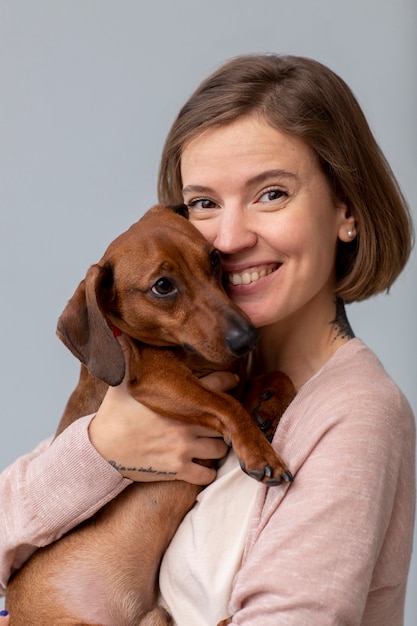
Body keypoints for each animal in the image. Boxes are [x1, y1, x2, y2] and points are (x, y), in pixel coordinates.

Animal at [5, 205, 292, 624]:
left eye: (214, 258)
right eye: (162, 286)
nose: (248, 338)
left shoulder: (232, 378)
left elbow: (276, 376)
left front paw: (269, 409)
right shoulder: (159, 383)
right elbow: (228, 406)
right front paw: (260, 452)